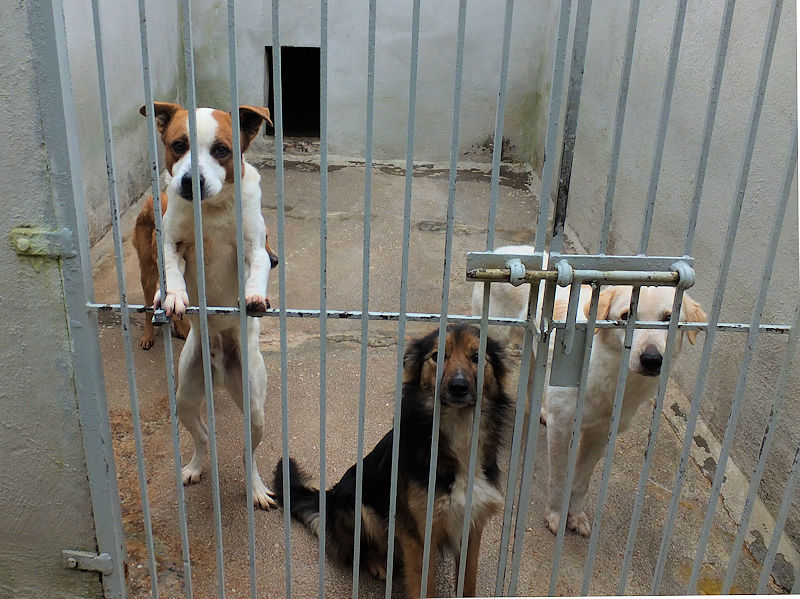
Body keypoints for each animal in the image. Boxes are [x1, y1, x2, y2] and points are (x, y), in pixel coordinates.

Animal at [274, 324, 512, 597]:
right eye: (437, 356)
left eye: (477, 356)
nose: (459, 387)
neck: (459, 432)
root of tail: (329, 497)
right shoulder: (417, 534)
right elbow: (423, 588)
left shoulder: (472, 525)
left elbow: (468, 583)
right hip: (360, 509)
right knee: (358, 553)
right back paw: (378, 564)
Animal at [471, 245, 706, 536]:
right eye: (626, 316)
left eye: (669, 318)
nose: (652, 359)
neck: (615, 377)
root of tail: (507, 250)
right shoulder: (562, 428)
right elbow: (559, 478)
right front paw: (556, 515)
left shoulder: (600, 432)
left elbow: (581, 481)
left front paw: (574, 515)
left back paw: (540, 410)